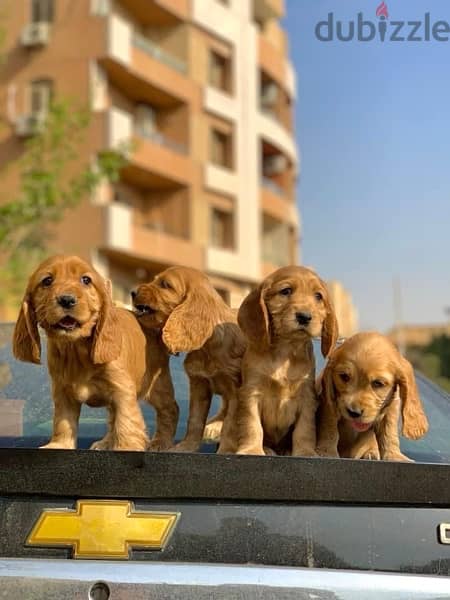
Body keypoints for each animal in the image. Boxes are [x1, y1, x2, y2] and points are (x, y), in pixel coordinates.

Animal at [12, 253, 149, 450]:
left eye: (86, 280)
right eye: (47, 280)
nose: (67, 300)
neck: (75, 348)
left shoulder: (122, 388)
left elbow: (126, 420)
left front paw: (126, 447)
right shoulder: (62, 392)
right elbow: (63, 421)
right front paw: (59, 445)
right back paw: (105, 443)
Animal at [133, 264, 244, 452]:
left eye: (165, 285)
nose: (132, 292)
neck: (207, 347)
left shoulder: (236, 387)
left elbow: (231, 424)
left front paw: (225, 450)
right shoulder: (199, 384)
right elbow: (195, 420)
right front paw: (186, 447)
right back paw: (213, 426)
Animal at [236, 264, 338, 458]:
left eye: (318, 296)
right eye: (286, 291)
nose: (304, 316)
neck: (286, 351)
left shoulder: (307, 397)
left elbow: (304, 429)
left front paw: (305, 452)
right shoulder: (250, 392)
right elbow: (252, 425)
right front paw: (252, 449)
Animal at [316, 330, 428, 462]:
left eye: (378, 383)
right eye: (344, 376)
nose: (354, 412)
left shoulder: (391, 407)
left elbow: (388, 431)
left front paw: (394, 455)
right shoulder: (329, 403)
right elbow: (329, 426)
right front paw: (326, 452)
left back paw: (370, 453)